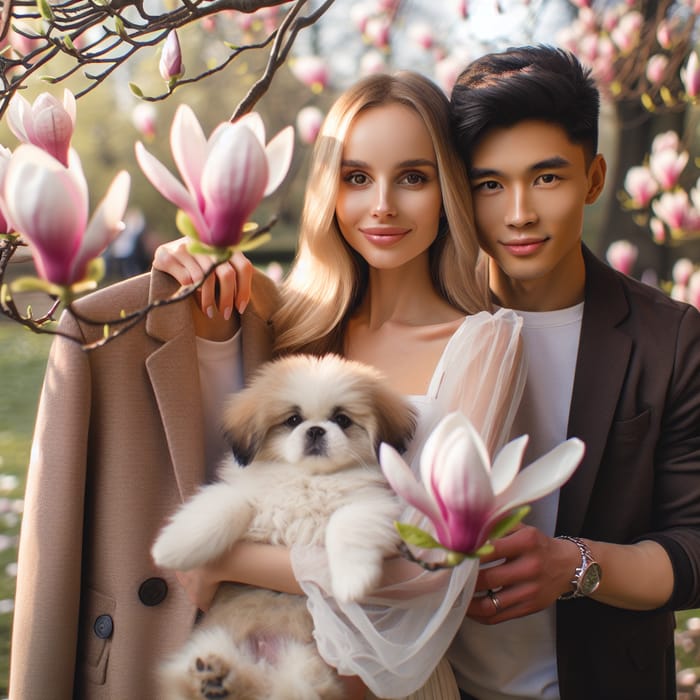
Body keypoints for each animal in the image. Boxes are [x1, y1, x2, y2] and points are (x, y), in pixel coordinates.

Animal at [152, 356, 416, 700]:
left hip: (302, 667)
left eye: (341, 419)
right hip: (209, 644)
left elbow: (346, 527)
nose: (315, 430)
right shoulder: (247, 496)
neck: (308, 479)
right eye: (293, 420)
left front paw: (351, 582)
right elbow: (224, 506)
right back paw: (213, 678)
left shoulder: (370, 504)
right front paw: (171, 549)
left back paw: (221, 680)